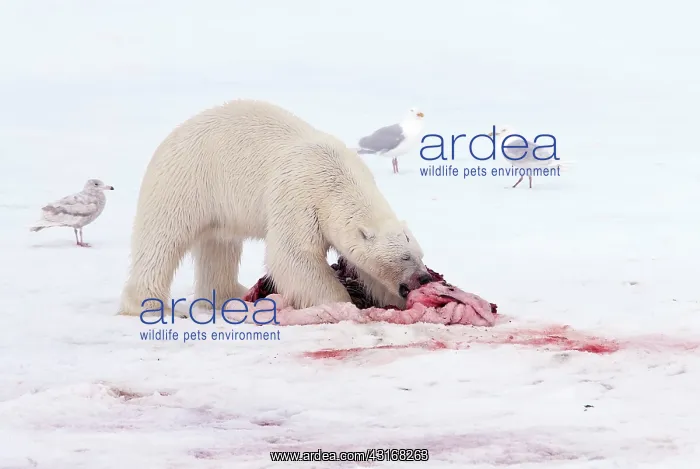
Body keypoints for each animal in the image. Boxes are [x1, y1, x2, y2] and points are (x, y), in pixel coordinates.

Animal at [118, 99, 433, 318]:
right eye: (405, 257)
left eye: (419, 254)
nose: (424, 277)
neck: (335, 176)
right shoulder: (299, 197)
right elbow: (293, 255)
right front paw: (342, 302)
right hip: (185, 182)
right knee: (162, 239)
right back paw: (151, 305)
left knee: (219, 246)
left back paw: (229, 294)